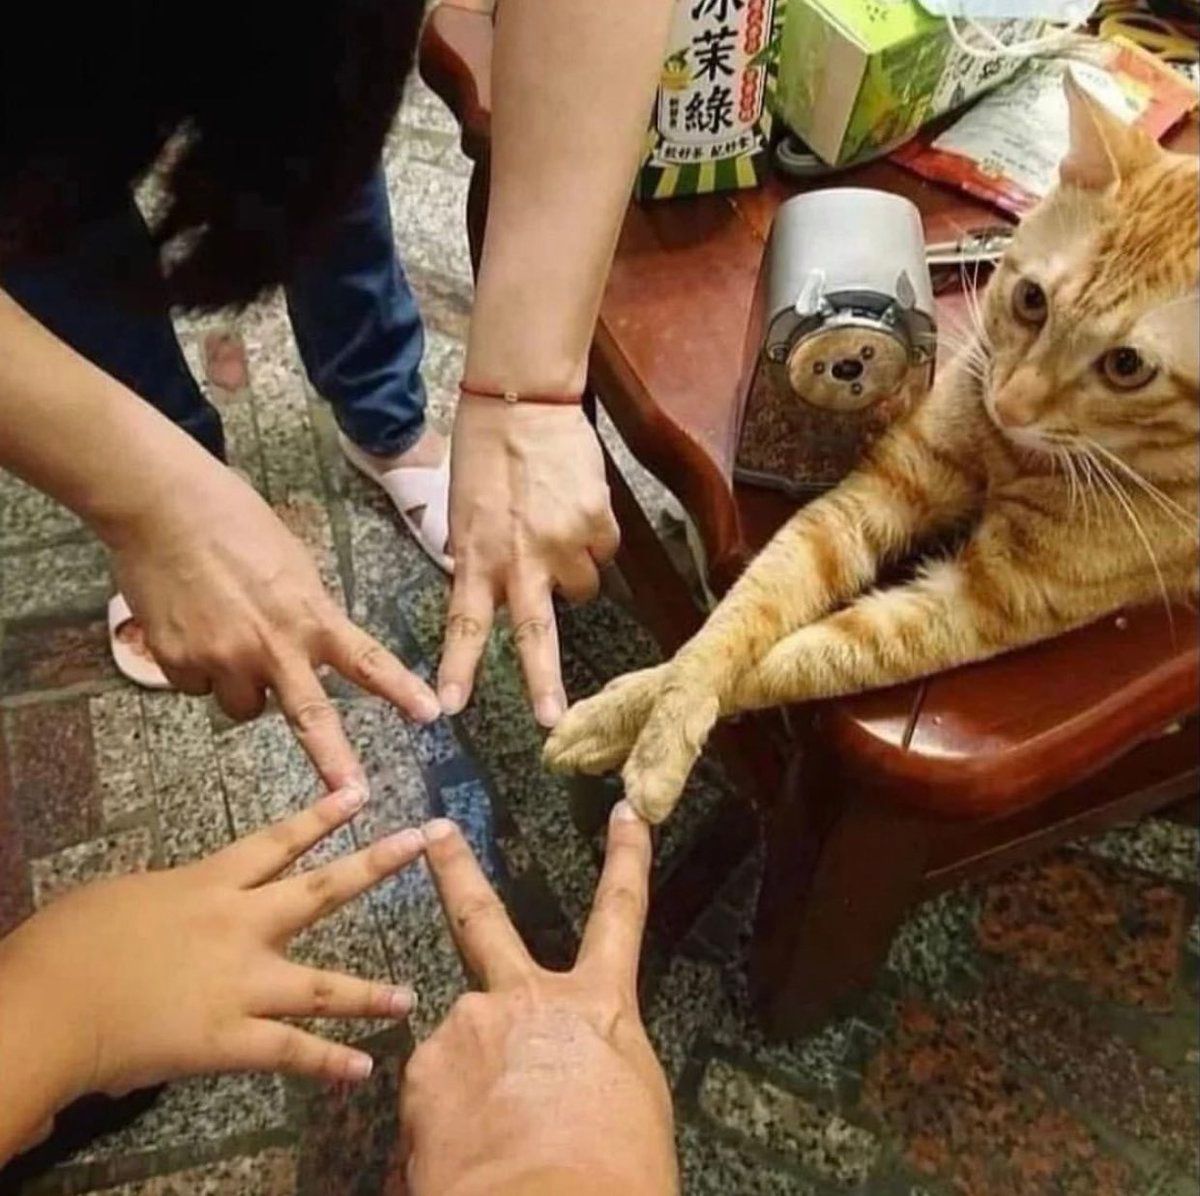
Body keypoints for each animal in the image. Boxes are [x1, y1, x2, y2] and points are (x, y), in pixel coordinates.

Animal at [543, 75, 1200, 823]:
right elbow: (737, 619)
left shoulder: (987, 602)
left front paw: (636, 739)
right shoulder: (888, 483)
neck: (1013, 459)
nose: (1007, 405)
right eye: (1032, 300)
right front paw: (638, 716)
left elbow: (799, 660)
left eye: (1127, 367)